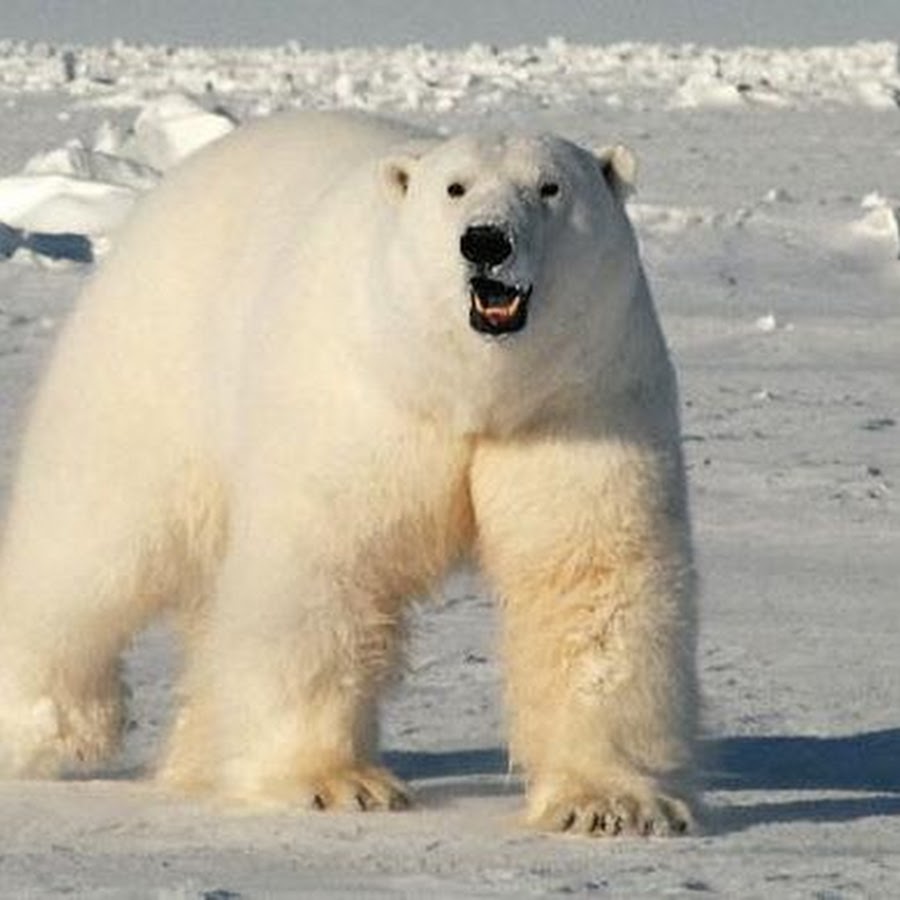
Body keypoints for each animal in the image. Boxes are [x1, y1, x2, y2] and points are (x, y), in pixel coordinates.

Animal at [0, 110, 696, 836]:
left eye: (550, 187)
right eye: (454, 187)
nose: (485, 241)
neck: (463, 387)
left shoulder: (580, 398)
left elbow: (590, 574)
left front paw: (610, 803)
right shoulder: (359, 394)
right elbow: (327, 566)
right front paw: (334, 783)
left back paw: (202, 756)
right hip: (155, 363)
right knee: (93, 543)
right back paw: (46, 727)